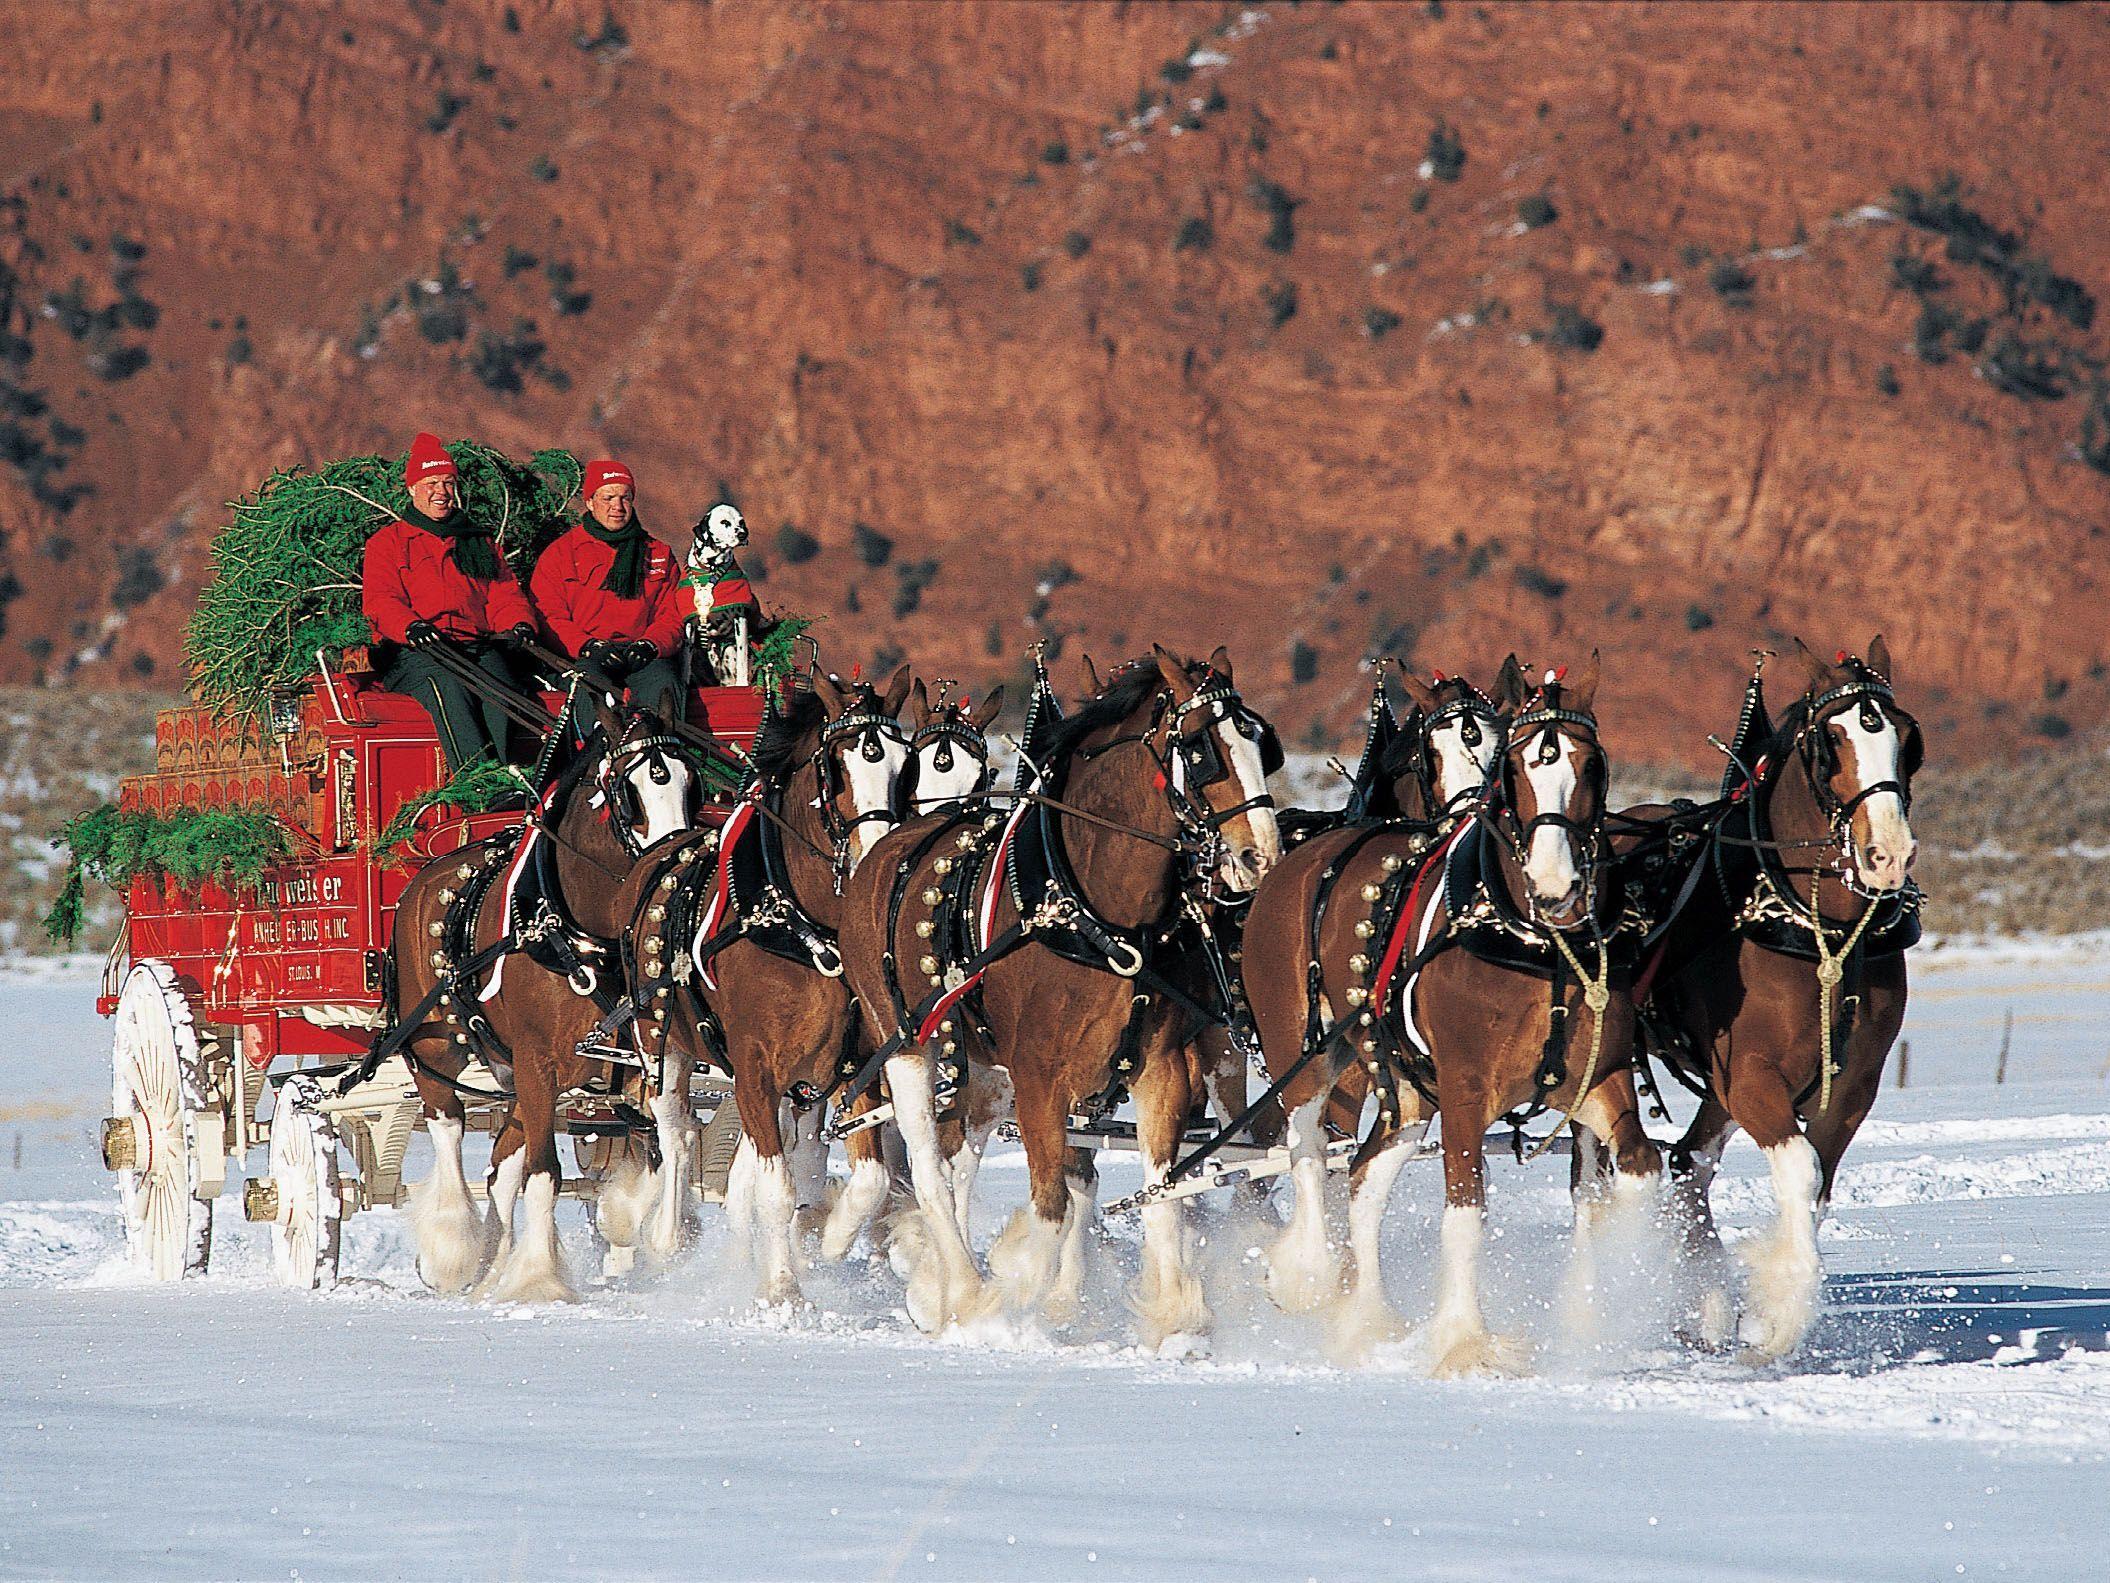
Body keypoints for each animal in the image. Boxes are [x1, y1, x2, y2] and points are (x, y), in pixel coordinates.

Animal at [390, 692, 699, 1301]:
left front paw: (638, 1224)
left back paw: (492, 1260)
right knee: (449, 1127)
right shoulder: (538, 1064)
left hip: (511, 1069)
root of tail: (422, 878)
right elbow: (545, 1176)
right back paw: (456, 1249)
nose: (676, 865)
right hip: (438, 1049)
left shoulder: (641, 1059)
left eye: (691, 783)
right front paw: (539, 1279)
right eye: (631, 794)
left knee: (501, 1164)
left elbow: (667, 1141)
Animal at [619, 666, 913, 1304]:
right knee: (678, 1134)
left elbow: (869, 1180)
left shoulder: (855, 1066)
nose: (875, 859)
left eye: (907, 766)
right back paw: (669, 1239)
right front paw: (782, 1289)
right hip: (664, 1045)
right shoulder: (754, 1068)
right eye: (836, 768)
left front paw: (824, 1245)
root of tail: (663, 846)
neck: (801, 927)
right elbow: (776, 1188)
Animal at [838, 646, 1281, 1349]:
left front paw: (1172, 1317)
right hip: (907, 1044)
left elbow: (1159, 1194)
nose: (1259, 856)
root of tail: (886, 851)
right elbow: (1050, 1205)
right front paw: (1012, 1301)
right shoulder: (1040, 1076)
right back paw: (959, 1288)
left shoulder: (1158, 1071)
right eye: (1203, 748)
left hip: (986, 1071)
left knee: (960, 1163)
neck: (1098, 916)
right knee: (931, 1172)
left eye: (1263, 744)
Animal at [1244, 654, 1662, 1371]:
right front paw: (1464, 1341)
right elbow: (1465, 1215)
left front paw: (1607, 1307)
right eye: (1516, 771)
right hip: (1306, 1051)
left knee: (1364, 1177)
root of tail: (1294, 861)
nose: (1556, 887)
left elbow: (1631, 1175)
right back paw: (1308, 1274)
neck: (1533, 941)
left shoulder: (1601, 1082)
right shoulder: (1466, 1093)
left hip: (1407, 1088)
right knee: (1307, 1147)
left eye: (1593, 765)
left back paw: (1368, 1320)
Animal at [1618, 637, 1921, 1361]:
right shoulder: (1750, 1076)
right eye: (1830, 742)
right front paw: (1781, 1311)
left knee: (1688, 1161)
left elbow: (1817, 1187)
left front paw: (1773, 1302)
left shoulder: (1854, 1084)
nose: (1888, 855)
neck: (1822, 934)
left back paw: (1703, 1304)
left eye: (1907, 738)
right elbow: (1800, 1172)